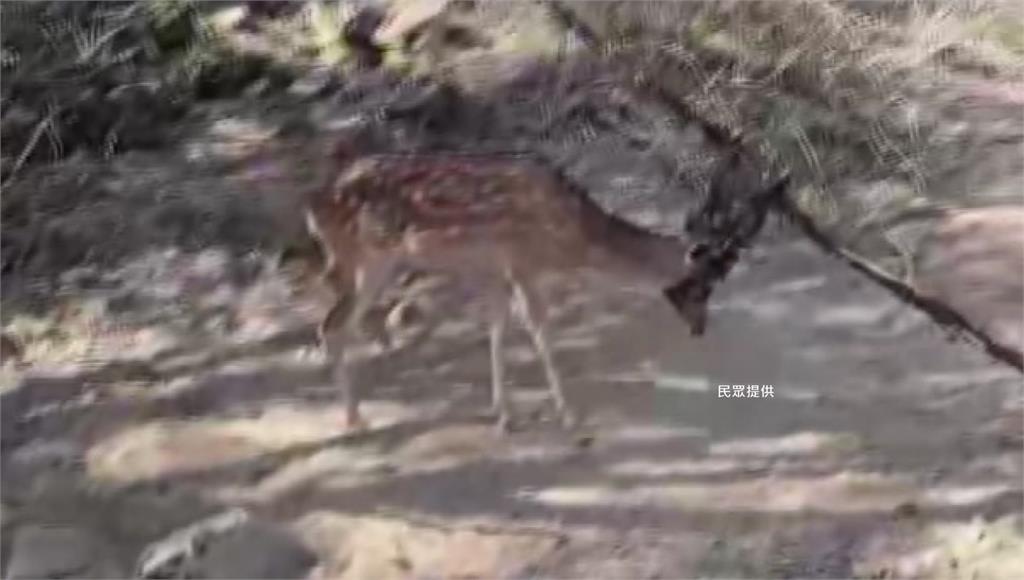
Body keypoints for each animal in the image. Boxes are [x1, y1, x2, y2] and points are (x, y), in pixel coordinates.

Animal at [305, 137, 788, 432]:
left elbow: (496, 329)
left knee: (337, 321)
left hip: (365, 263)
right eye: (703, 286)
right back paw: (355, 419)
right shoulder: (524, 263)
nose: (700, 327)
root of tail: (315, 209)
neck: (573, 240)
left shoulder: (494, 270)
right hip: (372, 260)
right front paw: (569, 414)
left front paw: (504, 414)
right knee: (333, 324)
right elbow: (539, 330)